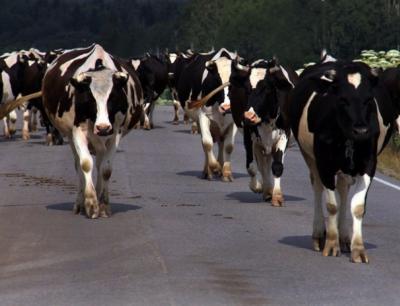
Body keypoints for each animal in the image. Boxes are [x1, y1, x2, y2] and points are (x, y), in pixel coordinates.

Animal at [41, 44, 144, 219]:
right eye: (90, 98)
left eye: (113, 97)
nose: (102, 127)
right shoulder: (77, 131)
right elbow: (85, 164)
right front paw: (90, 204)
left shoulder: (115, 133)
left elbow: (106, 169)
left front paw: (103, 205)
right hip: (71, 137)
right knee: (78, 165)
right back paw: (79, 204)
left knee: (100, 164)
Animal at [178, 48, 241, 182]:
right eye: (217, 80)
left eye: (234, 80)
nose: (226, 107)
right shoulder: (203, 117)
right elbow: (207, 143)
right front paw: (214, 167)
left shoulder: (233, 121)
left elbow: (229, 146)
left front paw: (226, 173)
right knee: (206, 144)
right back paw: (208, 172)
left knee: (221, 143)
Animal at [230, 57, 298, 206]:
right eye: (247, 88)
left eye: (266, 88)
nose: (249, 116)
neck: (267, 118)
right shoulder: (249, 137)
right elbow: (251, 167)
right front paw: (257, 187)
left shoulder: (284, 135)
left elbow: (278, 166)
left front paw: (277, 196)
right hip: (259, 145)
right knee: (263, 166)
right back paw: (267, 190)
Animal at [290, 59, 396, 262]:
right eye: (342, 99)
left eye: (369, 99)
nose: (361, 130)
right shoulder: (325, 164)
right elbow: (332, 206)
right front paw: (331, 244)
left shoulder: (369, 164)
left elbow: (358, 206)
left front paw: (358, 249)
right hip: (309, 156)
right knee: (317, 188)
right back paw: (319, 235)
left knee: (343, 190)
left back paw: (345, 237)